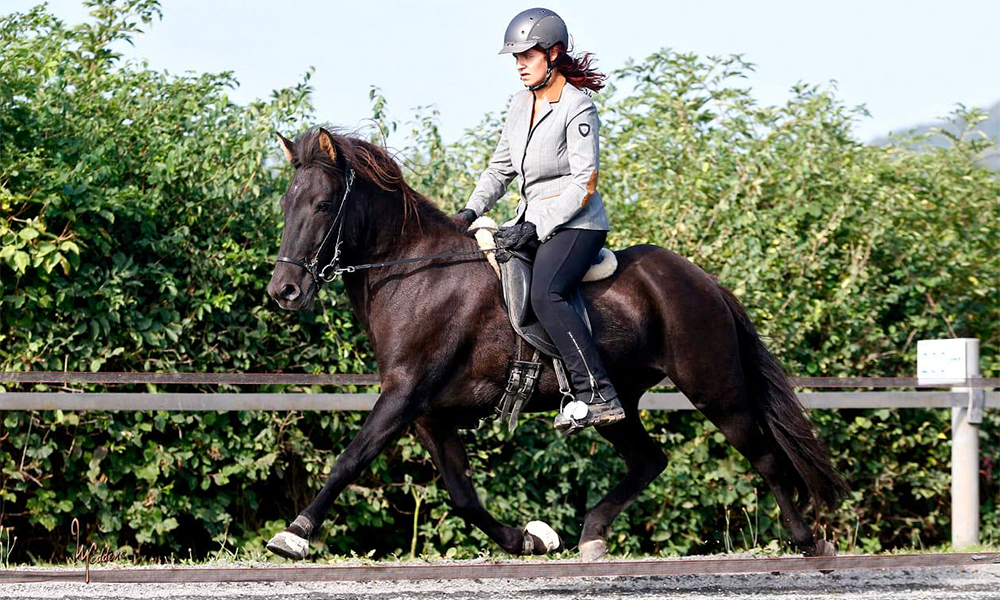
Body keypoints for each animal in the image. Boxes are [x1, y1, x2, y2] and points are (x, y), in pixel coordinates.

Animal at [262, 126, 848, 564]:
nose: (283, 291)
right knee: (648, 460)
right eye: (286, 205)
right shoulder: (428, 412)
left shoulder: (405, 394)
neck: (414, 273)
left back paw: (806, 541)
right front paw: (530, 539)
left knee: (763, 454)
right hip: (618, 401)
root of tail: (702, 280)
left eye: (322, 204)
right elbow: (464, 495)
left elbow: (350, 459)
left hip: (715, 387)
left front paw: (293, 533)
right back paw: (591, 535)